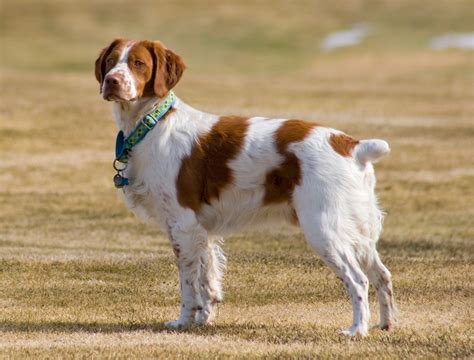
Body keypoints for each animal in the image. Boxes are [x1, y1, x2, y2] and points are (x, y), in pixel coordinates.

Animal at [93, 38, 396, 336]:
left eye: (138, 63)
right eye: (111, 61)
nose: (111, 81)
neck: (153, 124)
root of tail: (352, 145)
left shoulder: (183, 225)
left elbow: (189, 284)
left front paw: (183, 322)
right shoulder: (202, 230)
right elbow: (207, 279)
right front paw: (204, 320)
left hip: (324, 229)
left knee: (358, 280)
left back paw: (357, 329)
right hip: (359, 230)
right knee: (382, 275)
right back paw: (386, 324)